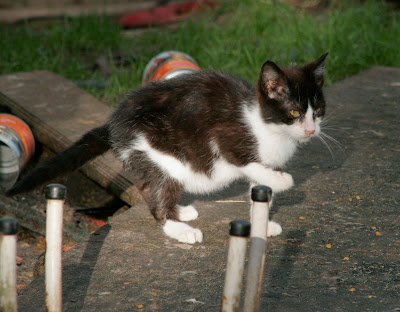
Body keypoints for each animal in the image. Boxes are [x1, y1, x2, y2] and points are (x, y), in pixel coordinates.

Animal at [5, 53, 328, 244]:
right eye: (293, 113)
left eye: (318, 110)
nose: (311, 130)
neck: (263, 123)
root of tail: (114, 122)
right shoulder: (226, 140)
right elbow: (250, 165)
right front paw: (284, 181)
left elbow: (258, 185)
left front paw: (262, 223)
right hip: (159, 152)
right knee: (155, 190)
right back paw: (179, 228)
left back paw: (180, 212)